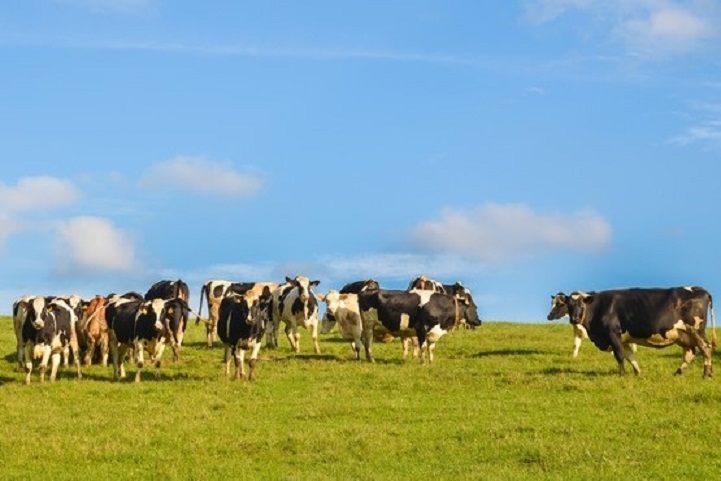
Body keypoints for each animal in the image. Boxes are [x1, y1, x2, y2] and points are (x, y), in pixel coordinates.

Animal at [564, 286, 716, 376]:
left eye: (581, 304)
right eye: (569, 305)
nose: (574, 319)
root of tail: (701, 290)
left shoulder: (612, 334)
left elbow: (619, 355)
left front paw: (622, 375)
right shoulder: (623, 340)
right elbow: (630, 356)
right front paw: (637, 373)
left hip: (697, 330)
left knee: (706, 348)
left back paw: (706, 374)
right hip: (683, 334)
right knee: (690, 353)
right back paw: (678, 373)